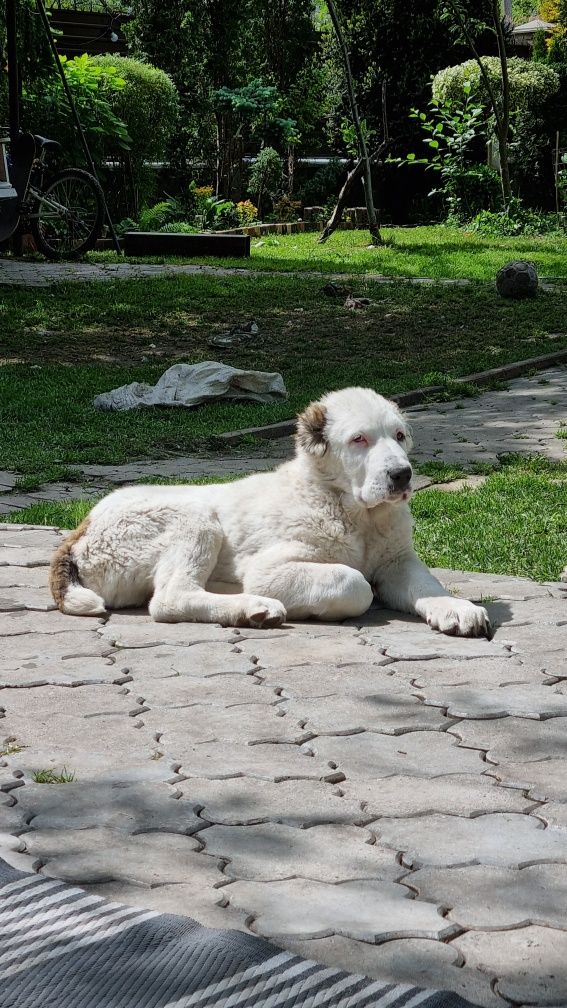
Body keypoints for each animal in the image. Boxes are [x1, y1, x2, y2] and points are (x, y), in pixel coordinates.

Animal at [49, 387, 490, 637]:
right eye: (359, 440)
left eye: (399, 436)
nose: (402, 474)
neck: (352, 511)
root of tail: (78, 534)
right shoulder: (270, 568)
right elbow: (354, 583)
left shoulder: (398, 562)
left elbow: (428, 586)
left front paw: (457, 608)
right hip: (195, 518)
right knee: (169, 598)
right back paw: (251, 608)